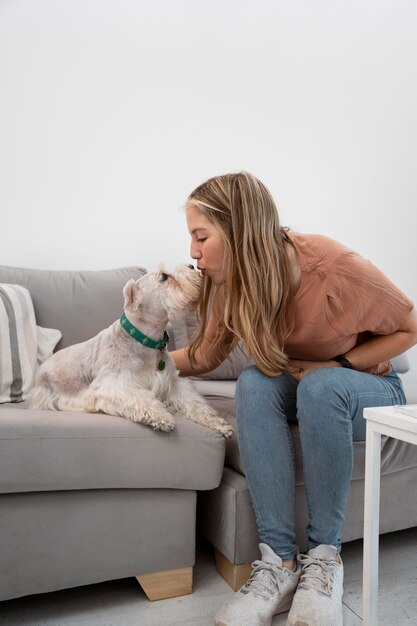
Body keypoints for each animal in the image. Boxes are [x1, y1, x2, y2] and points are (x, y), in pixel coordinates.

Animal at [28, 266, 234, 436]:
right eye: (164, 276)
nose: (192, 266)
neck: (146, 340)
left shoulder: (173, 383)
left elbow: (193, 402)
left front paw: (218, 423)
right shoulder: (114, 385)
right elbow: (142, 397)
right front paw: (162, 417)